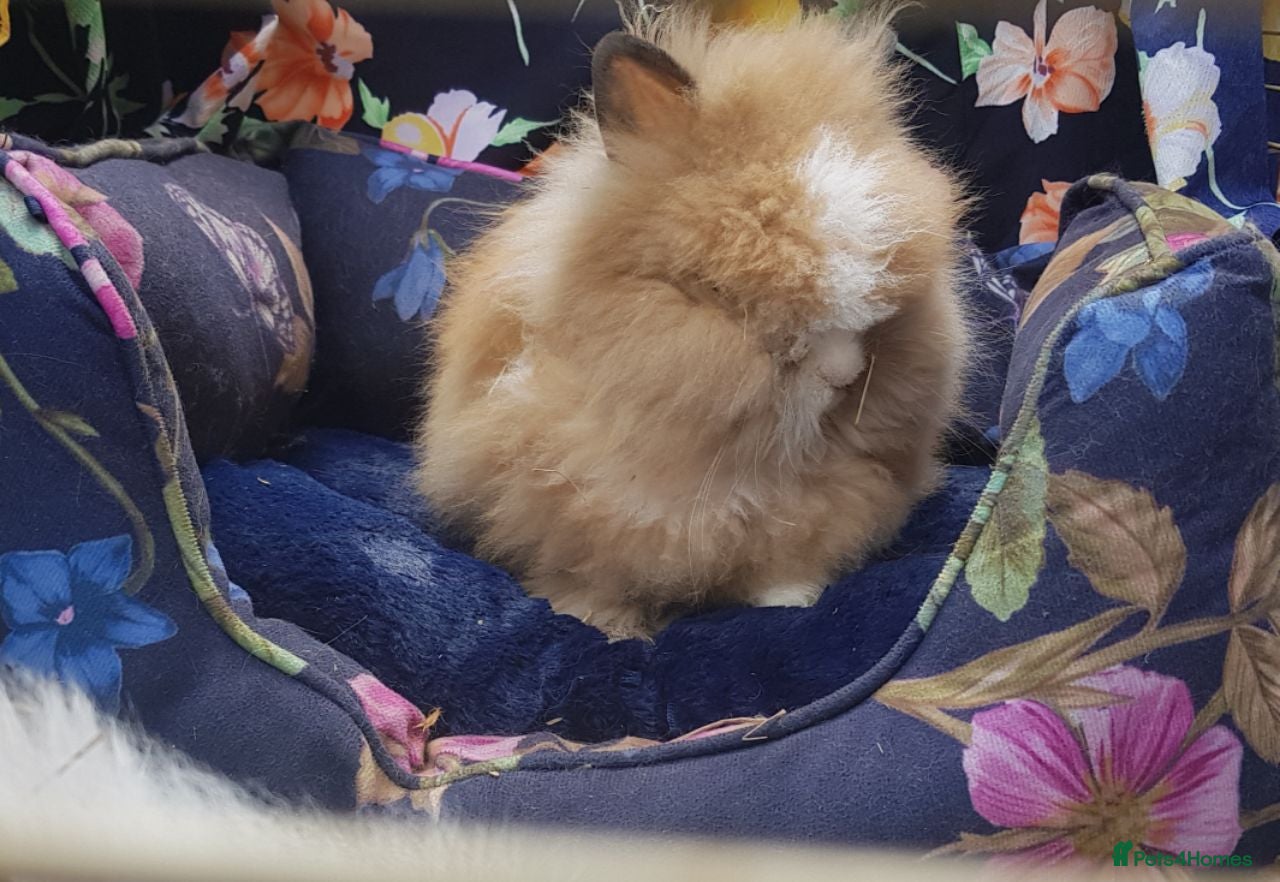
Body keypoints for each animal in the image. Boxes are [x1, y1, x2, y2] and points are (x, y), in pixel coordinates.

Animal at [415, 5, 969, 640]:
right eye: (720, 295)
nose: (844, 376)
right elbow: (590, 576)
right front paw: (601, 622)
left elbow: (784, 569)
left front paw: (792, 603)